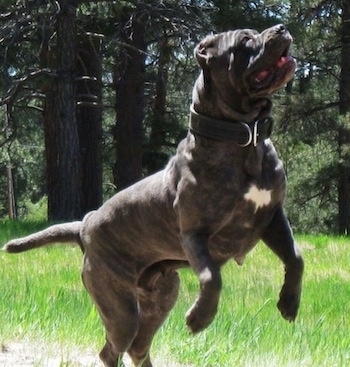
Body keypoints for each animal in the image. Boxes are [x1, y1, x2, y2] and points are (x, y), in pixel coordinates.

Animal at [2, 23, 304, 367]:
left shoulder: (273, 217)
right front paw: (199, 318)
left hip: (161, 296)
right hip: (119, 305)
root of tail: (84, 225)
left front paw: (289, 304)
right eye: (245, 40)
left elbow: (296, 258)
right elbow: (211, 277)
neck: (245, 137)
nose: (281, 27)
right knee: (113, 348)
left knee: (139, 346)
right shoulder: (195, 233)